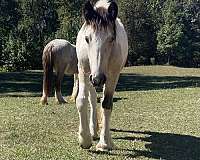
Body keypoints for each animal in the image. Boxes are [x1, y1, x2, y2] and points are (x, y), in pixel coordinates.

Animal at [75, 0, 128, 151]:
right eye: (87, 38)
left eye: (111, 39)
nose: (98, 79)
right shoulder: (83, 71)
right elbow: (81, 100)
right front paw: (84, 138)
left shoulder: (113, 75)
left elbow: (107, 104)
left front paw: (104, 142)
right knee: (92, 100)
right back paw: (93, 130)